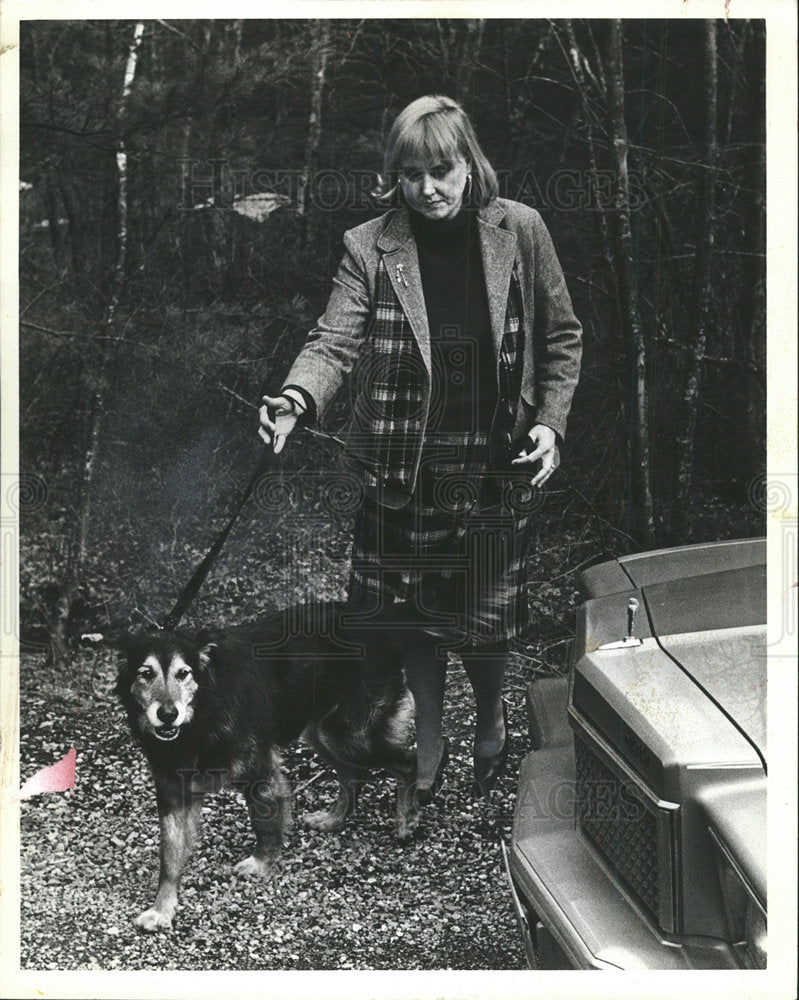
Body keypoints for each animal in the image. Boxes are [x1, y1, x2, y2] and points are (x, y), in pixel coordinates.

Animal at [120, 596, 418, 932]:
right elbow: (169, 856)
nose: (168, 715)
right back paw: (333, 819)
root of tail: (374, 624)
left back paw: (407, 821)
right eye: (145, 674)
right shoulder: (172, 791)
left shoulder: (260, 773)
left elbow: (263, 824)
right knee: (354, 773)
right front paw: (162, 909)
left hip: (350, 735)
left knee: (408, 762)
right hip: (323, 733)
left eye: (183, 674)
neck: (203, 714)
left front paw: (261, 863)